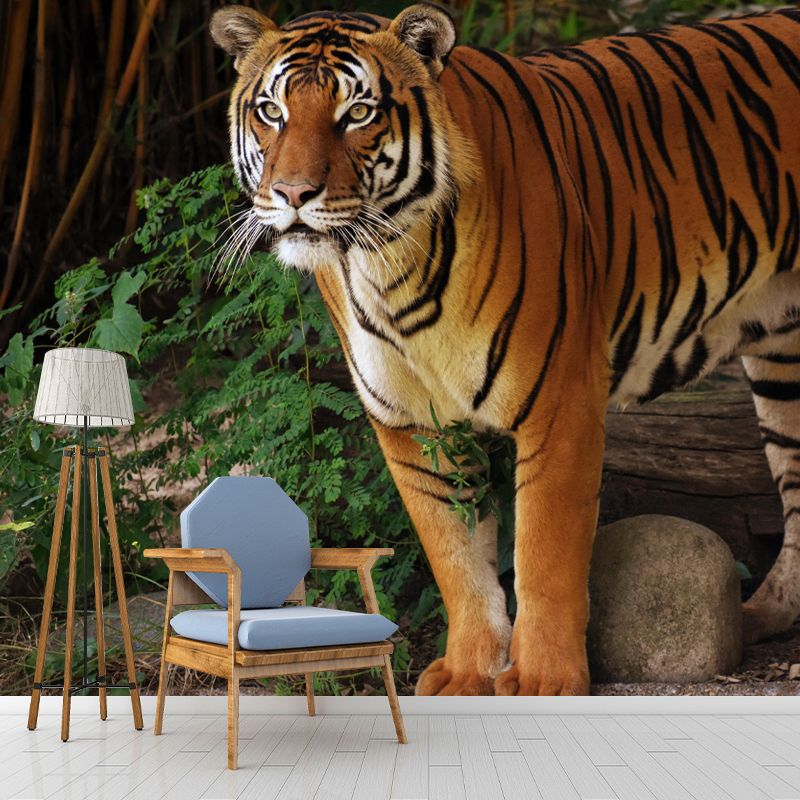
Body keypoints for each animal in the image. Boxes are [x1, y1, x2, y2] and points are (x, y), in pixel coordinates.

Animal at [210, 3, 800, 695]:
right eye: (271, 111)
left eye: (357, 112)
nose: (293, 194)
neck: (389, 268)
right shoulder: (413, 424)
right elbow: (456, 558)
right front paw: (469, 671)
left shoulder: (560, 403)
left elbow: (546, 551)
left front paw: (544, 678)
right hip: (784, 359)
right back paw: (763, 614)